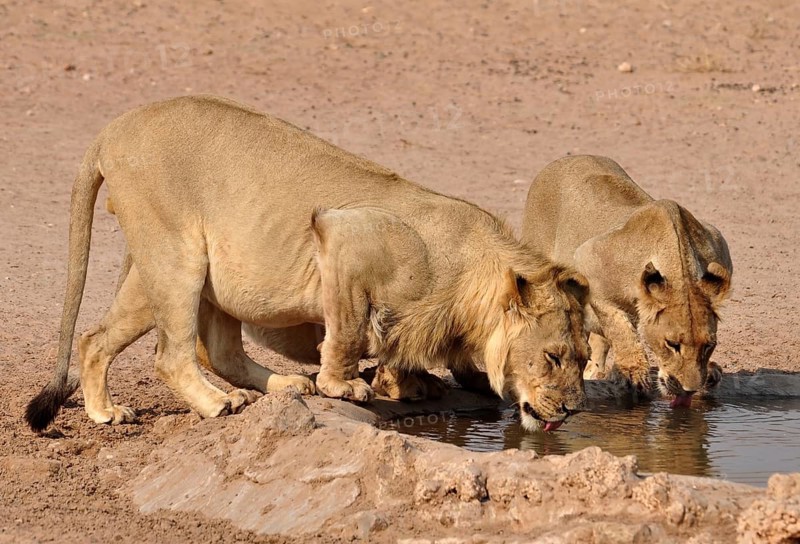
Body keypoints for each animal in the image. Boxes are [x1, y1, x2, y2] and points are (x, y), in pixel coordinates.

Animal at [25, 95, 589, 433]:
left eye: (585, 359)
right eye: (553, 357)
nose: (574, 409)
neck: (470, 282)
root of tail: (114, 129)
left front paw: (408, 384)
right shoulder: (343, 236)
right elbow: (349, 330)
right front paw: (345, 386)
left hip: (173, 272)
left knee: (116, 341)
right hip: (175, 256)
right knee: (172, 355)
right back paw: (214, 404)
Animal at [522, 155, 732, 407]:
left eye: (709, 345)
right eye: (672, 344)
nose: (689, 390)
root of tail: (567, 157)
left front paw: (710, 373)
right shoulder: (588, 259)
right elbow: (620, 328)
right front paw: (634, 372)